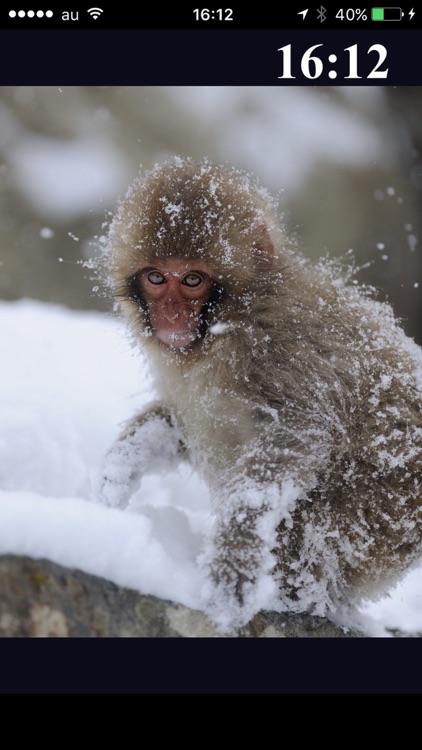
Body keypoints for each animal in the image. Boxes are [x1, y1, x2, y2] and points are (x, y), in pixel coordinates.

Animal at [95, 157, 422, 636]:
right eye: (156, 278)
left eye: (192, 279)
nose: (171, 315)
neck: (231, 320)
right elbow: (177, 423)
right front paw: (114, 476)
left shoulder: (278, 345)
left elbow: (298, 433)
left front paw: (236, 558)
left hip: (387, 513)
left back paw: (298, 599)